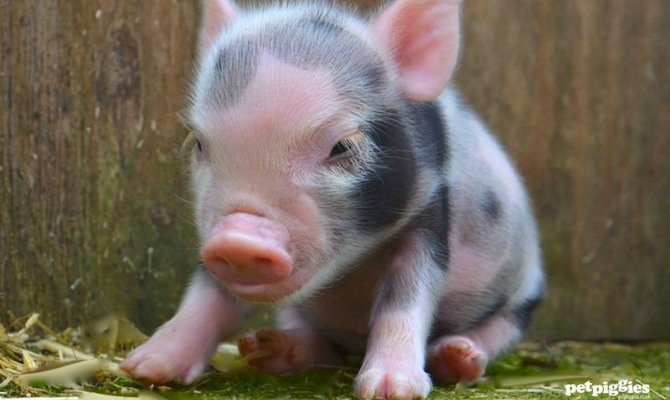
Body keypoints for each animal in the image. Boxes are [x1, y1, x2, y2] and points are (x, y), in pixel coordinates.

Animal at [121, 0, 545, 398]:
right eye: (198, 143)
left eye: (342, 145)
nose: (239, 239)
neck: (352, 269)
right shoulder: (213, 232)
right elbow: (207, 295)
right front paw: (145, 369)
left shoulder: (430, 214)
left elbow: (405, 298)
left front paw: (391, 390)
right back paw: (271, 350)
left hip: (523, 295)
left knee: (497, 331)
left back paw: (458, 358)